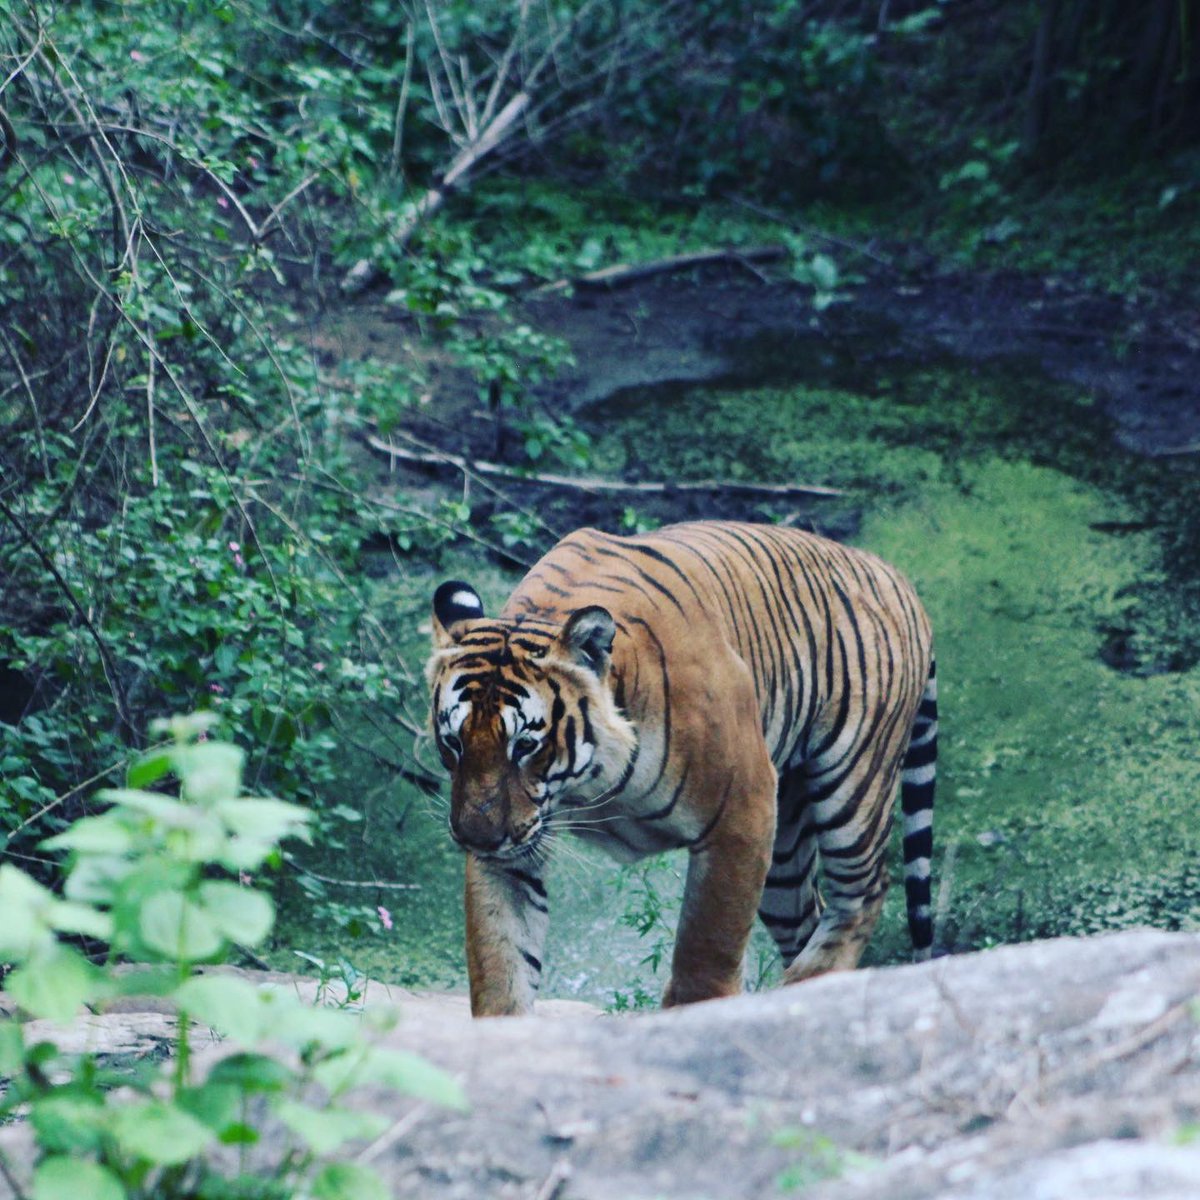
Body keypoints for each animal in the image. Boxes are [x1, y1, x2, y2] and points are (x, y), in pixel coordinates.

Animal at [426, 520, 937, 1016]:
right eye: (453, 742)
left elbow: (706, 952)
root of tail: (894, 574)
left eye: (526, 746)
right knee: (810, 916)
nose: (476, 838)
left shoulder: (742, 811)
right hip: (785, 847)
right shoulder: (514, 847)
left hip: (852, 784)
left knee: (863, 894)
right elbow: (502, 960)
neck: (588, 781)